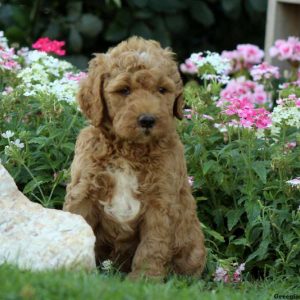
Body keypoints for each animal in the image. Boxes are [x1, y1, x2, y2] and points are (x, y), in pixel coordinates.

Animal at [63, 37, 206, 278]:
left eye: (162, 90)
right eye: (124, 90)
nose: (147, 120)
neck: (128, 151)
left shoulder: (161, 203)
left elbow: (152, 246)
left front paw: (144, 280)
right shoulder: (84, 190)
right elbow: (77, 221)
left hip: (193, 244)